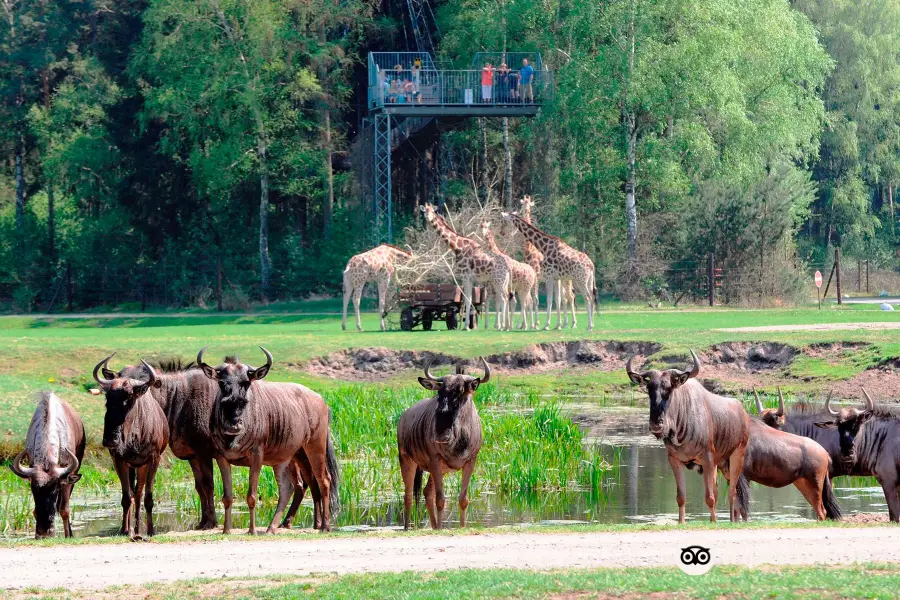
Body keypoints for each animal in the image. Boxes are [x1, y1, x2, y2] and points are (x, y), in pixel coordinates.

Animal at [520, 196, 576, 328]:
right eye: (522, 204)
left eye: (529, 204)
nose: (526, 210)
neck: (529, 250)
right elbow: (529, 300)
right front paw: (527, 324)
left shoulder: (536, 276)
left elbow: (535, 300)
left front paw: (536, 323)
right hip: (560, 280)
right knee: (565, 298)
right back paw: (565, 324)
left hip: (565, 280)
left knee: (570, 296)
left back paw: (572, 324)